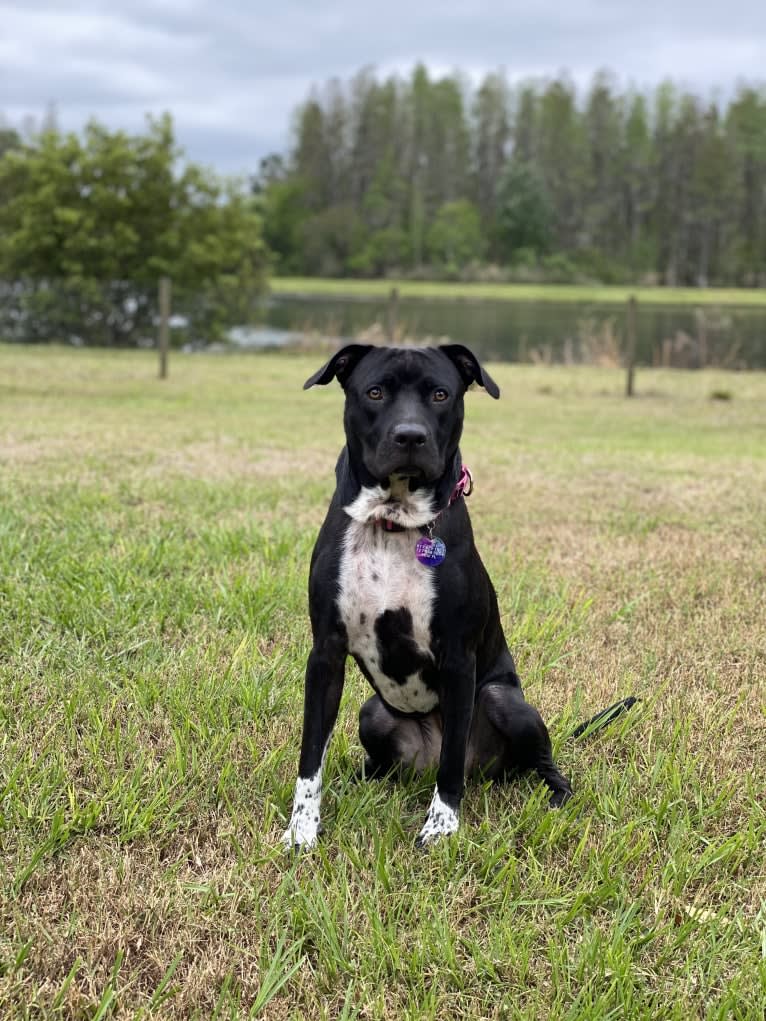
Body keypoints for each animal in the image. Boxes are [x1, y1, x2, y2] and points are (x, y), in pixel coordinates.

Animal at [279, 347, 571, 849]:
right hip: (374, 713)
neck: (394, 522)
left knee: (533, 762)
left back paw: (554, 794)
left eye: (440, 394)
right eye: (375, 391)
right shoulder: (325, 654)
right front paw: (302, 830)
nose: (410, 435)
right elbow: (310, 755)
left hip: (502, 700)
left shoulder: (458, 660)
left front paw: (442, 827)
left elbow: (452, 761)